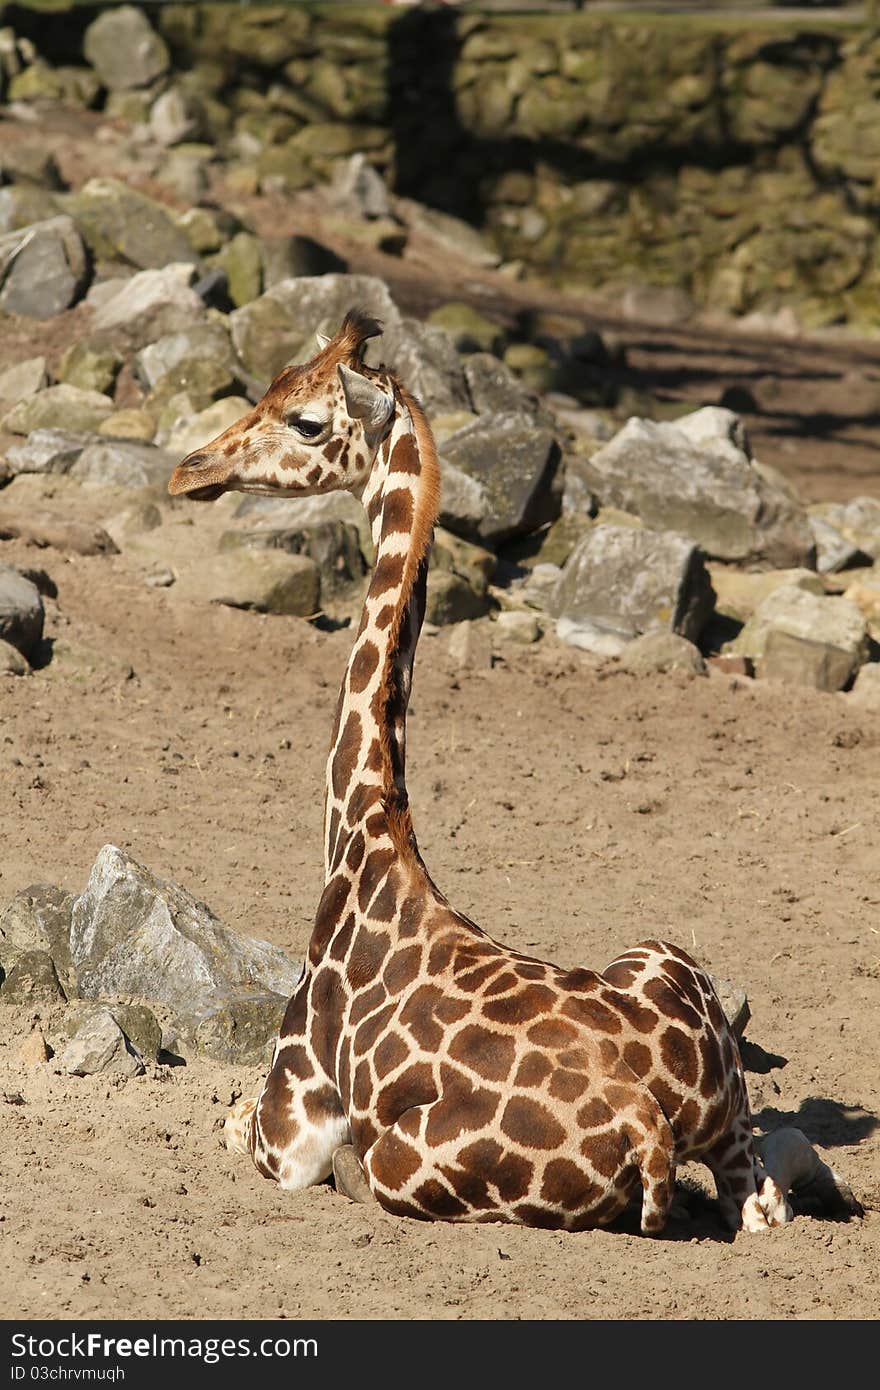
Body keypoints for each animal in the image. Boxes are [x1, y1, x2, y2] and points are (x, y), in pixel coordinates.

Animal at [166, 309, 789, 1234]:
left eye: (306, 420)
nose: (190, 470)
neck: (361, 840)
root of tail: (649, 1127)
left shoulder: (287, 1128)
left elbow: (242, 1121)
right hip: (700, 1045)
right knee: (764, 1200)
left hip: (402, 1163)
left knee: (369, 1169)